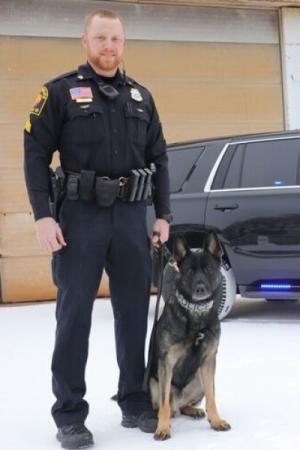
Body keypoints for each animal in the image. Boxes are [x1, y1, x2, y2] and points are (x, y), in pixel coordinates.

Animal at [149, 234, 231, 442]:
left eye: (208, 269)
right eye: (189, 271)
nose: (200, 289)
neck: (196, 314)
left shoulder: (209, 362)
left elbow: (212, 397)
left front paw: (216, 421)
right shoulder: (166, 363)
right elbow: (163, 405)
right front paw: (162, 428)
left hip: (198, 381)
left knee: (186, 404)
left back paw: (193, 410)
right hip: (154, 384)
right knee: (164, 406)